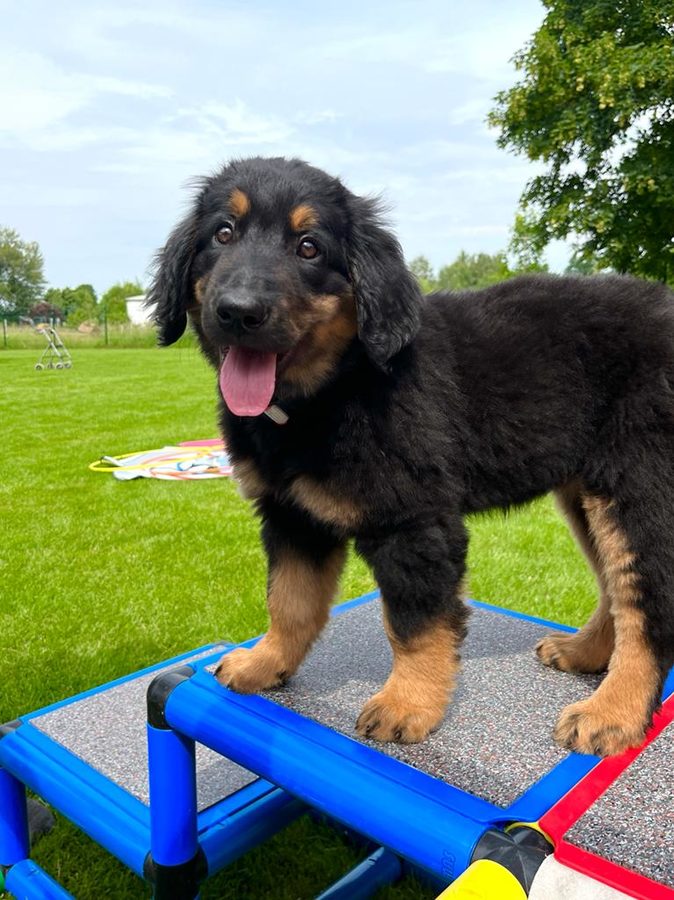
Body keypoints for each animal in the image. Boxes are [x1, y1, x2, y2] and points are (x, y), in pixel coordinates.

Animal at [148, 156, 674, 756]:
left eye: (309, 247)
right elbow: (289, 601)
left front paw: (408, 704)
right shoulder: (291, 515)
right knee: (617, 586)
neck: (332, 389)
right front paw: (266, 663)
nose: (238, 312)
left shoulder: (413, 521)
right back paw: (586, 653)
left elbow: (414, 624)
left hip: (638, 483)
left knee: (646, 601)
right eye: (223, 234)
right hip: (587, 494)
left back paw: (613, 711)